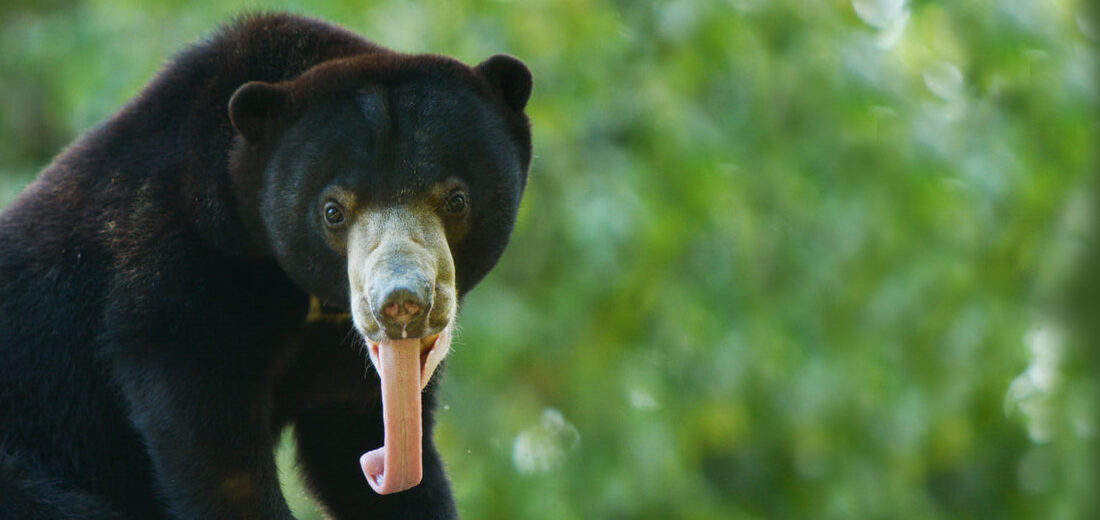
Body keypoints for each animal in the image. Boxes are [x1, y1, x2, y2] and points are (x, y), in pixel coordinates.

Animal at [0, 13, 532, 518]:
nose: (402, 303)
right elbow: (217, 457)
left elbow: (355, 445)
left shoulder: (345, 371)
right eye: (333, 210)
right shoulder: (170, 280)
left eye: (456, 200)